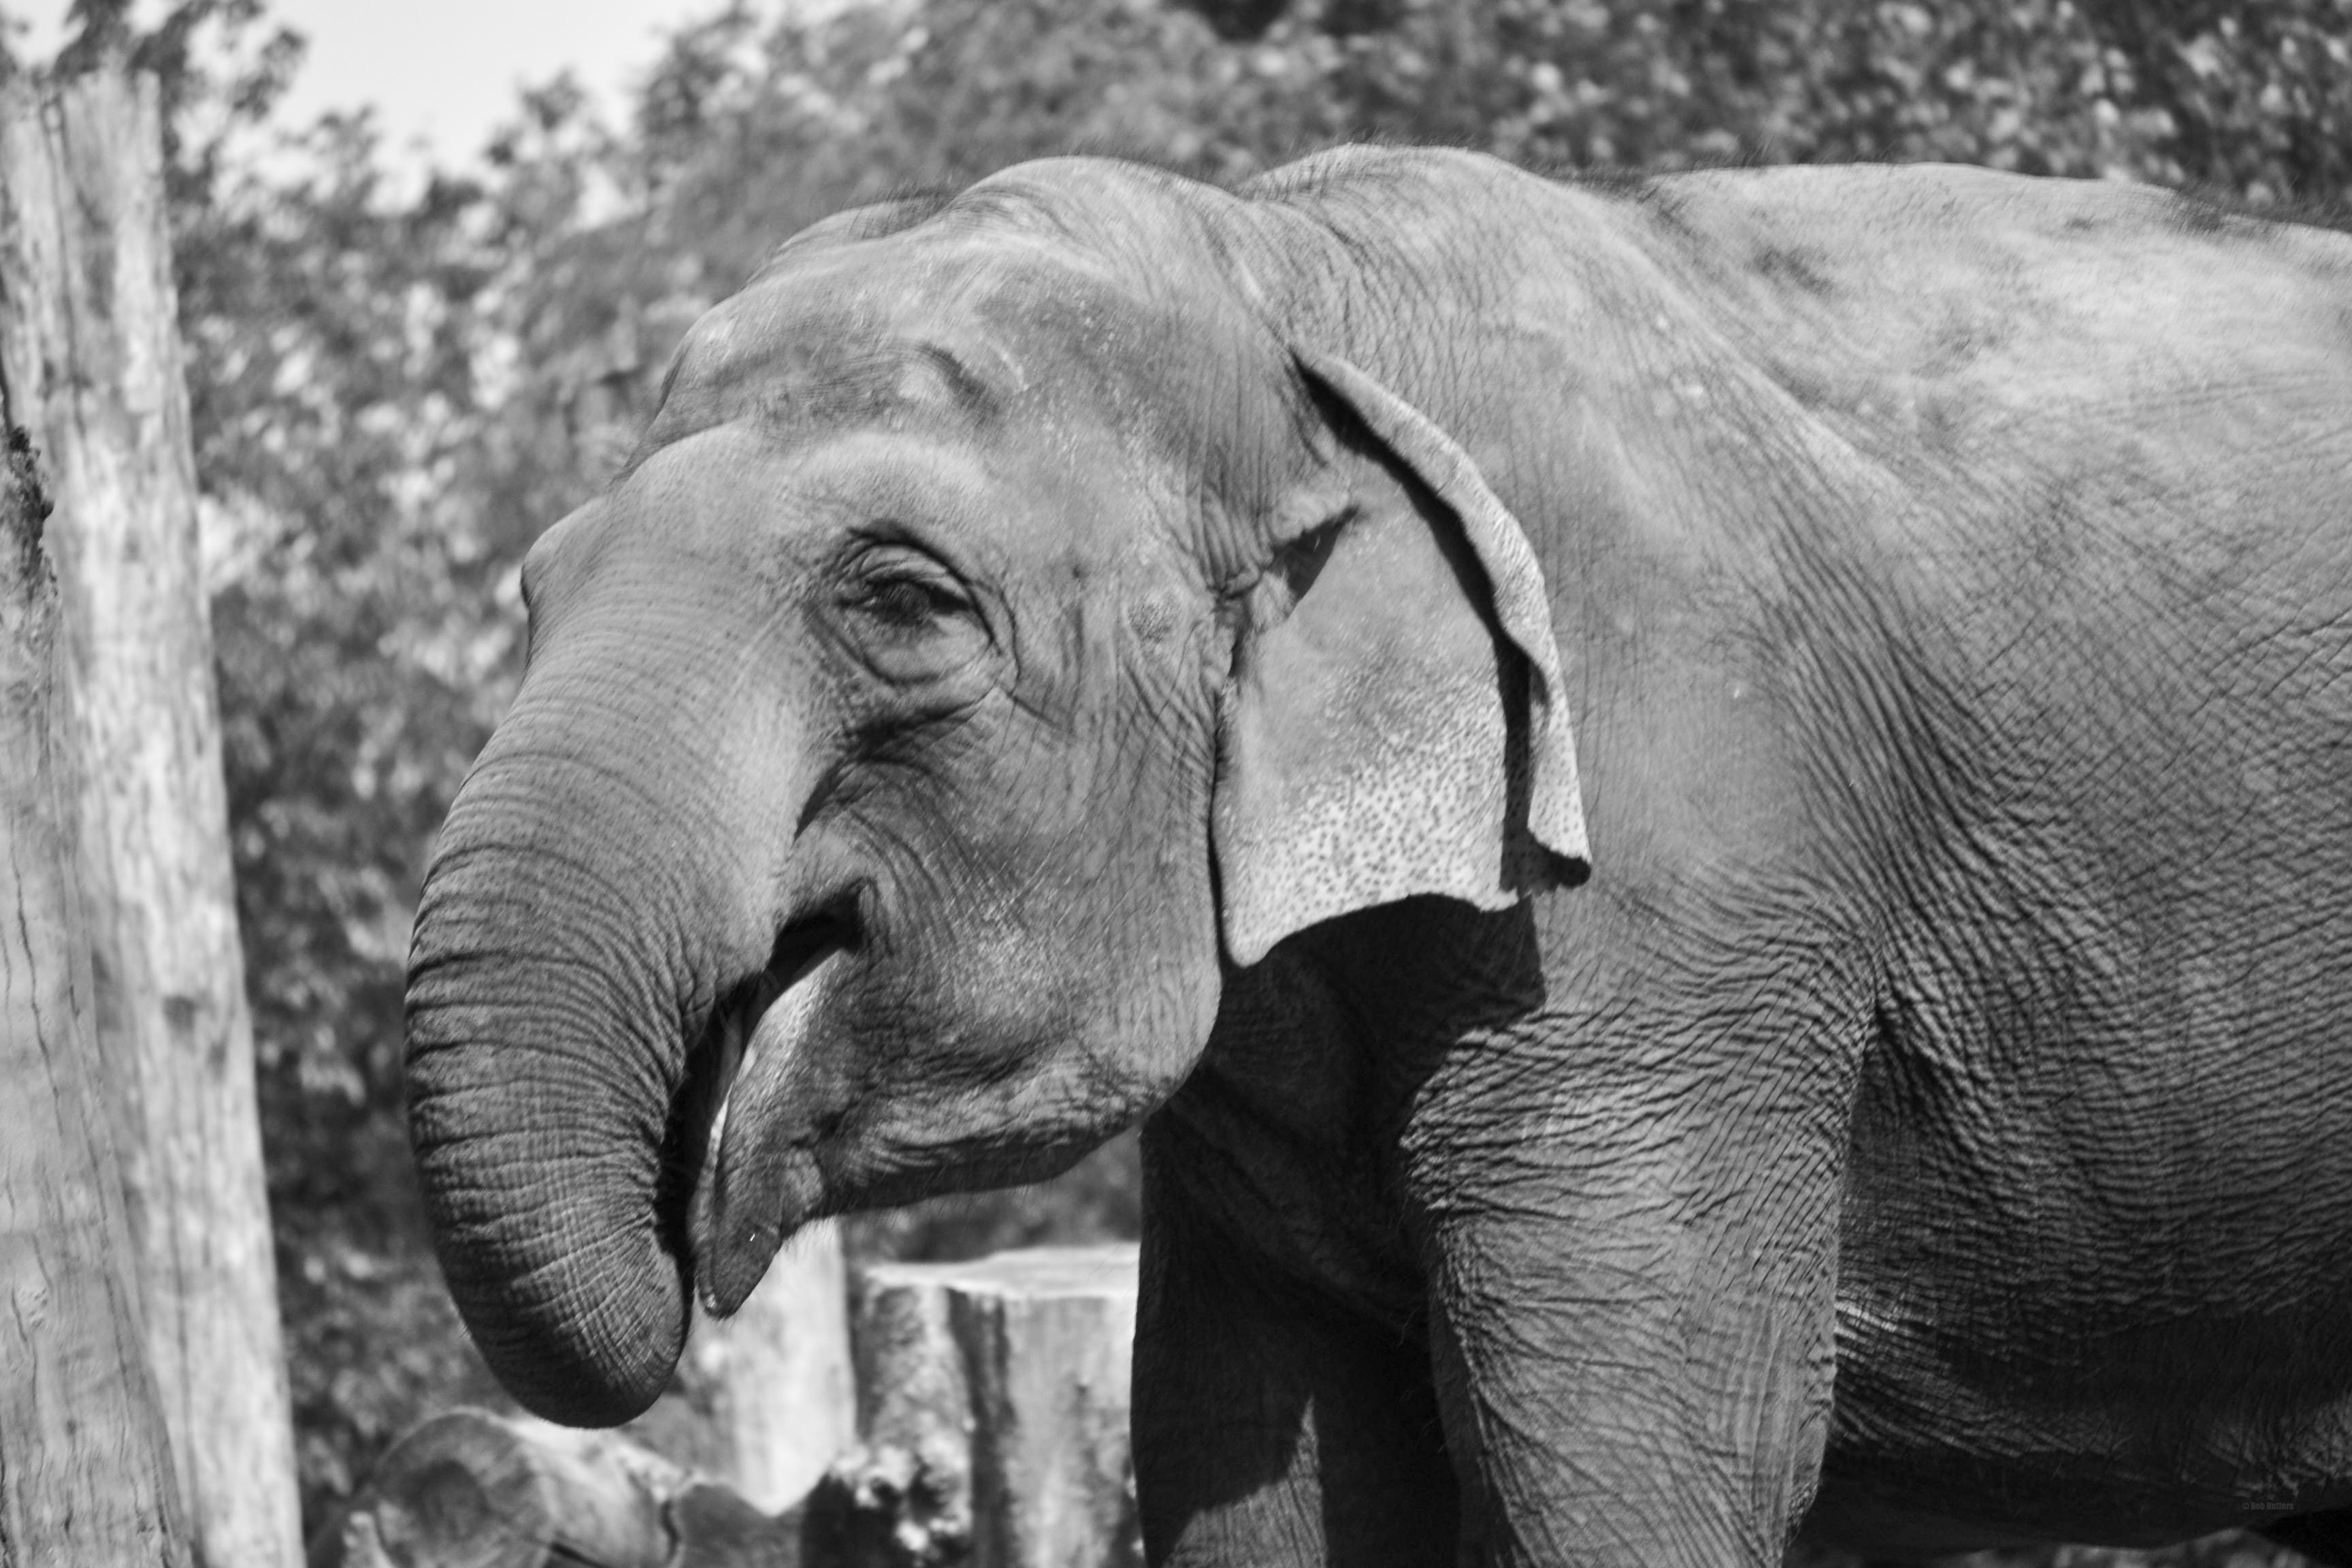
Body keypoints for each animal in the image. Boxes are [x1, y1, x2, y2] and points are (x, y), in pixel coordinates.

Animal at [403, 144, 2352, 1567]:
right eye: (534, 590)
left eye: (901, 604)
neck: (1287, 282)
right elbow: (1242, 1457)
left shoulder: (1676, 877)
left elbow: (1633, 1460)